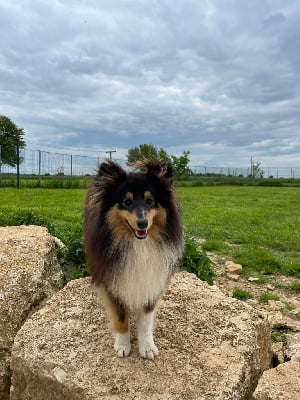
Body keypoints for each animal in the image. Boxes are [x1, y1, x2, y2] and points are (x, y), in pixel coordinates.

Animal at [84, 159, 183, 360]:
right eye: (126, 202)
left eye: (150, 201)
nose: (142, 223)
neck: (138, 245)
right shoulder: (114, 283)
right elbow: (121, 317)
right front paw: (123, 345)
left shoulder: (149, 283)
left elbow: (145, 321)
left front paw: (147, 347)